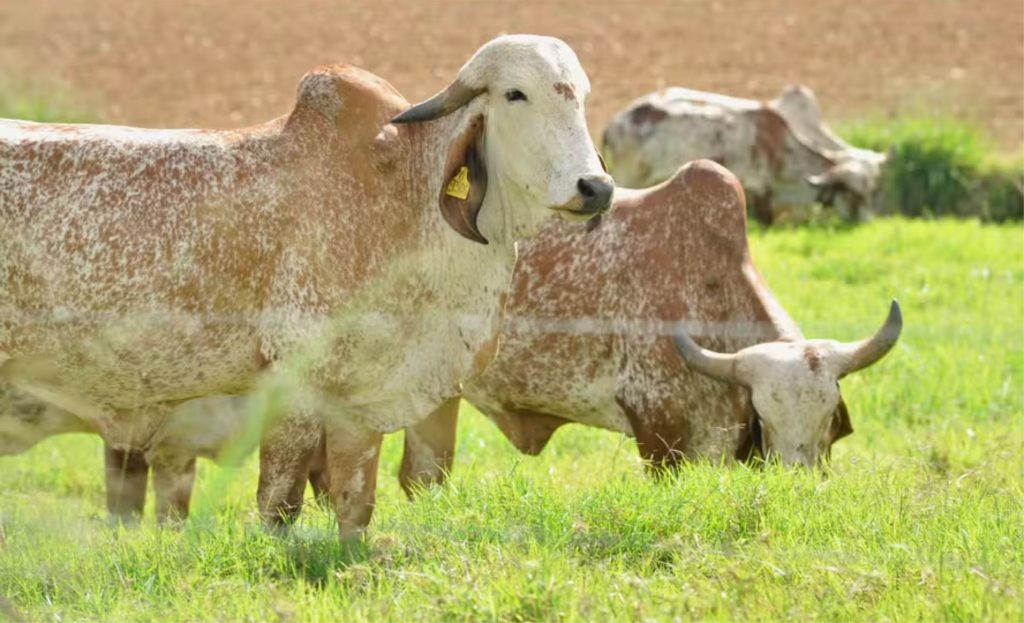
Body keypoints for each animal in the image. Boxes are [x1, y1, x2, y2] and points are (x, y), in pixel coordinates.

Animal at [0, 34, 606, 536]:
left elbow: (355, 503)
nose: (595, 187)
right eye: (515, 94)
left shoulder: (360, 400)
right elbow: (279, 502)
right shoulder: (291, 382)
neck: (403, 196)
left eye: (581, 96)